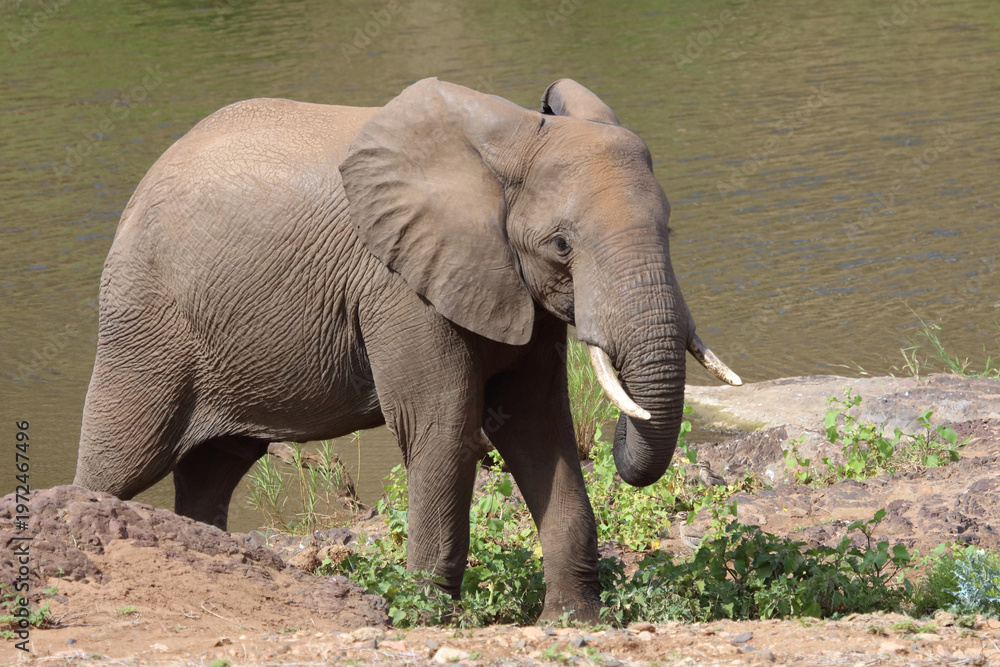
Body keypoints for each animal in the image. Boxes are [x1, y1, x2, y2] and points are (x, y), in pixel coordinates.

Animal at [74, 77, 741, 622]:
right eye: (560, 245)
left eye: (670, 229)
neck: (511, 139)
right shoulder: (397, 286)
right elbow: (442, 424)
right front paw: (427, 616)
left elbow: (537, 423)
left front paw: (573, 621)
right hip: (145, 326)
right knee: (120, 461)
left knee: (213, 468)